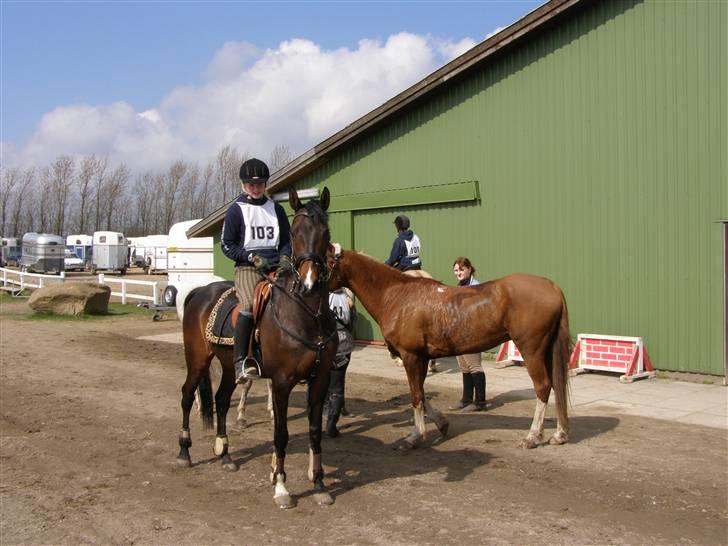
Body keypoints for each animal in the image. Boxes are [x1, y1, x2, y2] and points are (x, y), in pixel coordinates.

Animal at [176, 187, 338, 506]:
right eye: (296, 231)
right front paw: (281, 487)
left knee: (221, 399)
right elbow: (281, 433)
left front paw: (319, 485)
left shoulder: (320, 379)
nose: (309, 282)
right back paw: (184, 452)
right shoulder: (282, 382)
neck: (305, 314)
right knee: (188, 395)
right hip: (198, 359)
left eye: (325, 231)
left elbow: (314, 432)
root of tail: (199, 291)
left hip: (229, 365)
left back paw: (225, 454)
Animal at [328, 244, 572, 448]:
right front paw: (441, 424)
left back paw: (532, 437)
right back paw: (559, 434)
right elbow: (422, 393)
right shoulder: (422, 357)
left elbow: (416, 395)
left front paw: (415, 436)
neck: (397, 295)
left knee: (543, 386)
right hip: (547, 351)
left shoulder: (410, 356)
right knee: (556, 385)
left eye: (325, 259)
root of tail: (552, 287)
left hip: (531, 350)